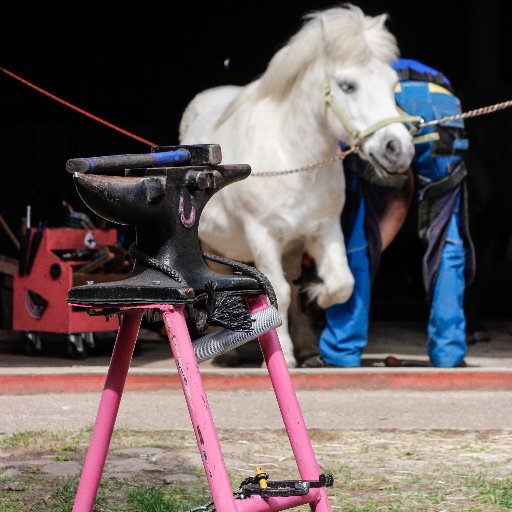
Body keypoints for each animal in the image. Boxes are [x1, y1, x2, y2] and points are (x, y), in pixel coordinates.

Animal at [180, 3, 416, 364]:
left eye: (393, 86)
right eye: (347, 85)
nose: (398, 150)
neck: (294, 160)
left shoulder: (323, 229)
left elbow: (340, 283)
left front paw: (317, 299)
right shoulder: (262, 234)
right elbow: (277, 290)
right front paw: (285, 355)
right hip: (213, 244)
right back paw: (225, 352)